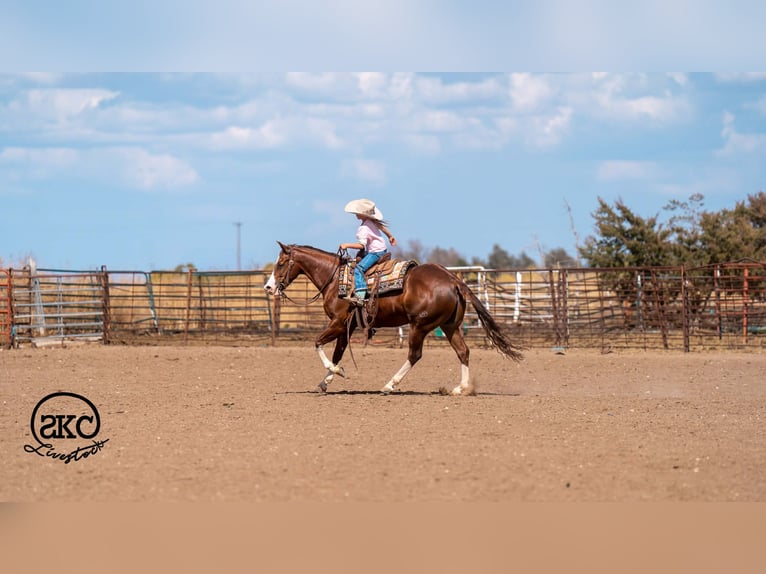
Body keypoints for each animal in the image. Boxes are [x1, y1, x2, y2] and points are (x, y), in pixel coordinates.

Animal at [264, 242, 523, 395]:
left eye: (281, 263)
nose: (268, 286)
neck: (335, 279)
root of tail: (453, 279)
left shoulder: (337, 323)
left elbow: (317, 344)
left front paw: (337, 372)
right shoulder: (347, 327)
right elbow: (337, 353)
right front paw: (326, 381)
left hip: (419, 325)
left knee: (415, 355)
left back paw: (390, 384)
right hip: (450, 326)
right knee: (463, 352)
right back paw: (461, 388)